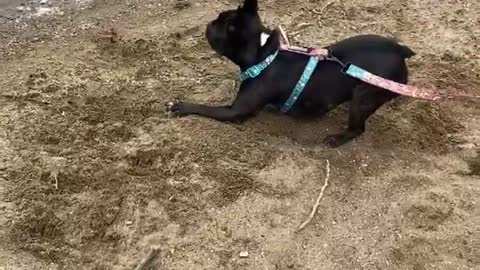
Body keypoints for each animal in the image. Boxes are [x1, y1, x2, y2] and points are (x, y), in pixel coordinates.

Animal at [167, 0, 414, 148]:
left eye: (219, 24)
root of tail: (400, 50)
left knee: (358, 128)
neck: (263, 53)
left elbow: (205, 108)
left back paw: (336, 138)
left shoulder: (234, 111)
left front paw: (181, 106)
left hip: (365, 96)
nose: (209, 23)